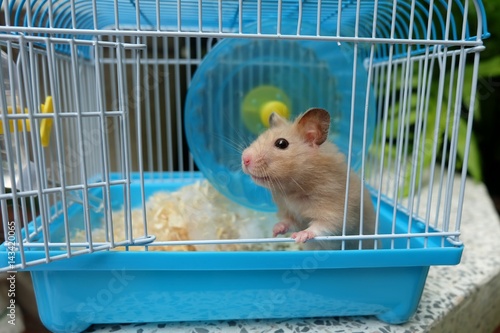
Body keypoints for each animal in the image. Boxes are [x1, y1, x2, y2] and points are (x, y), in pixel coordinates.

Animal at [241, 107, 376, 249]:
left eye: (281, 143)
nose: (244, 159)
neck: (294, 190)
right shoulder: (292, 215)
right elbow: (287, 222)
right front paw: (275, 230)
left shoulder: (338, 212)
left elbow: (321, 226)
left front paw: (299, 236)